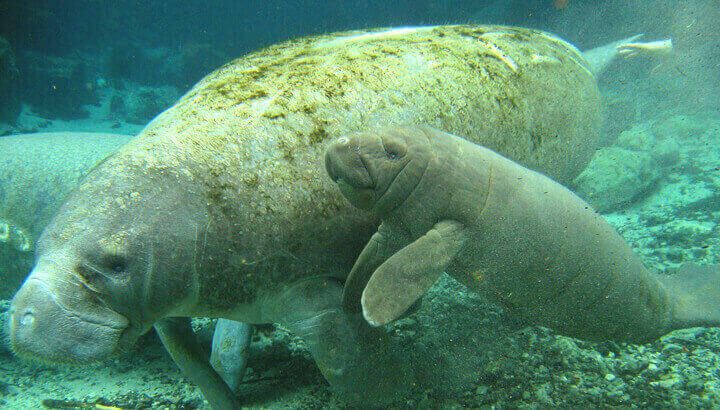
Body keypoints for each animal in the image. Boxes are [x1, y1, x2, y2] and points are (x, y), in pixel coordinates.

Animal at [9, 25, 608, 406]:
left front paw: (401, 393)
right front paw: (225, 396)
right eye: (36, 250)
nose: (25, 322)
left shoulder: (312, 295)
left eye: (115, 263)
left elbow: (356, 369)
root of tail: (574, 50)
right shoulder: (168, 302)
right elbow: (196, 368)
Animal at [326, 125, 720, 342]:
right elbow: (368, 259)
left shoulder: (452, 226)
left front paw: (371, 309)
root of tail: (674, 306)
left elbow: (401, 268)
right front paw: (347, 304)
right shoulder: (396, 226)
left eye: (394, 153)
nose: (337, 144)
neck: (430, 169)